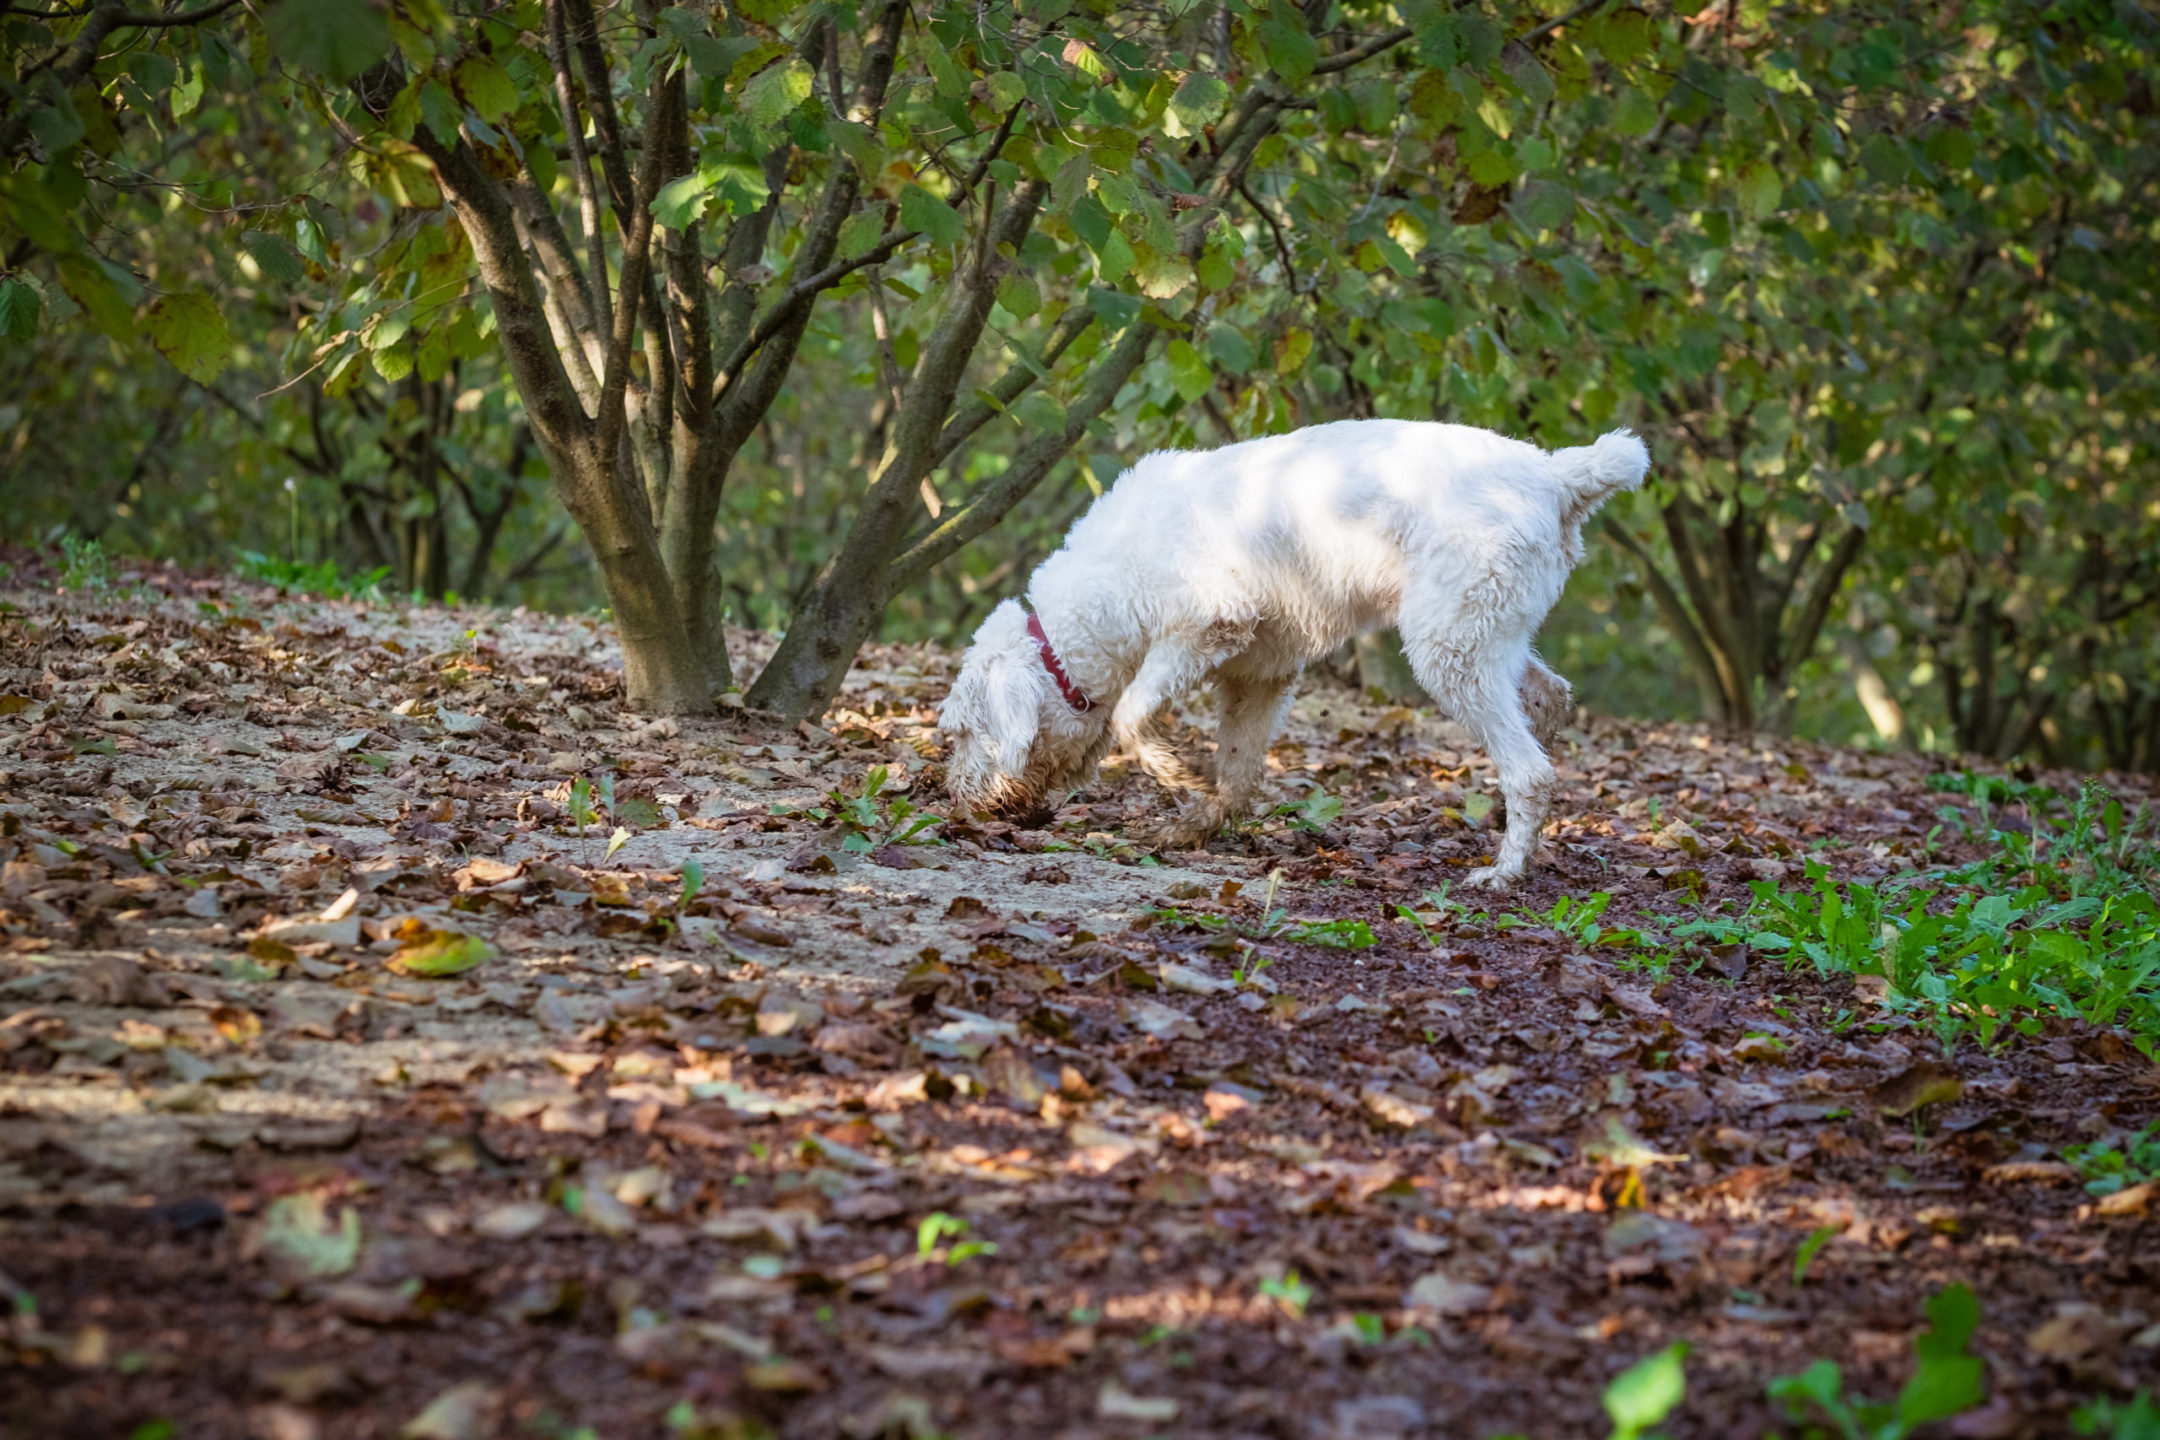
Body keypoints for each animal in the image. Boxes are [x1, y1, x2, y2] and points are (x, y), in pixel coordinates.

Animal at [933, 418, 1650, 889]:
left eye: (962, 732)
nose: (955, 803)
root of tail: (1555, 474)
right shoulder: (1260, 675)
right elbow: (1238, 772)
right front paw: (1194, 824)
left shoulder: (1204, 627)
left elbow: (1136, 715)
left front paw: (1174, 774)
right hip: (1485, 636)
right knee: (1549, 702)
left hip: (1448, 649)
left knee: (1530, 769)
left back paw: (1504, 871)